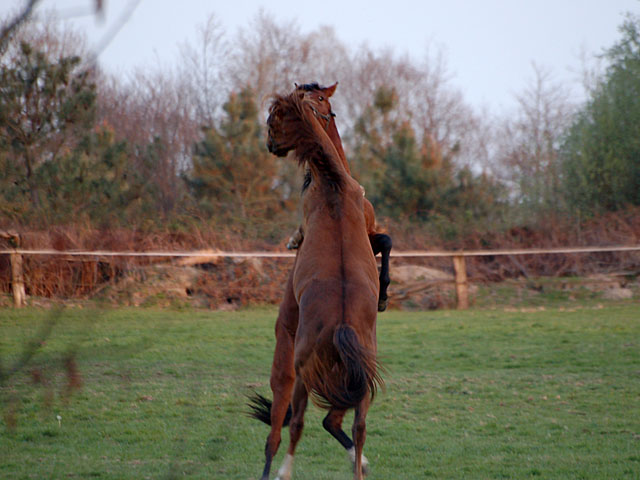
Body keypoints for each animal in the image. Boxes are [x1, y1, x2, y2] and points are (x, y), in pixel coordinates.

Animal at [249, 87, 380, 480]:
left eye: (274, 119)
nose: (270, 144)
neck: (332, 183)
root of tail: (342, 326)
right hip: (360, 376)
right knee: (357, 426)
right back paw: (358, 467)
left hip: (303, 373)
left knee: (292, 425)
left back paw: (281, 470)